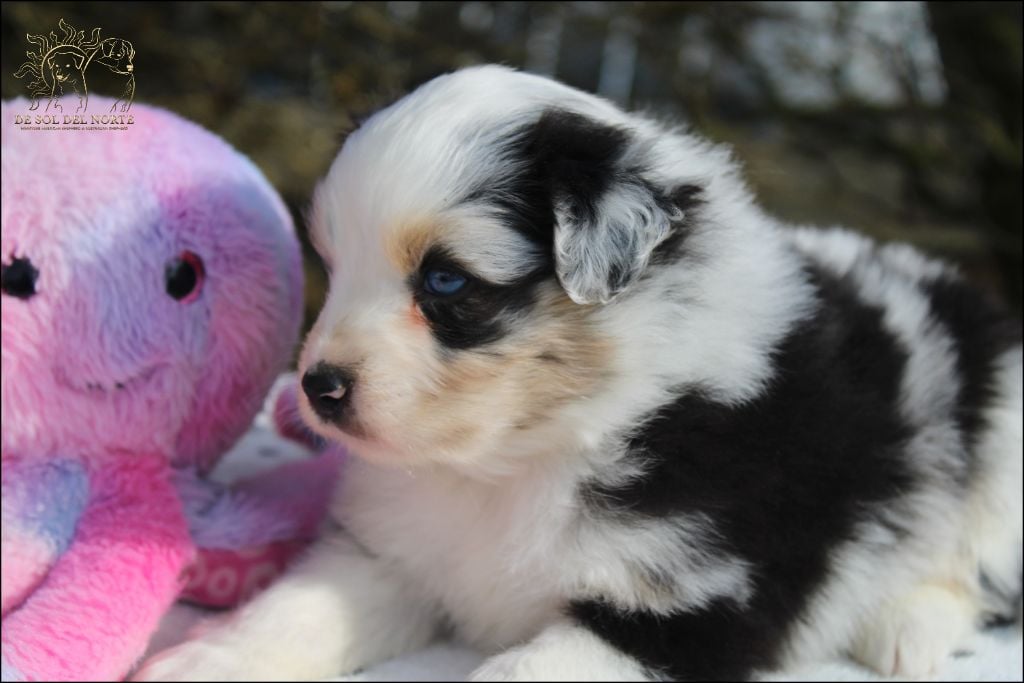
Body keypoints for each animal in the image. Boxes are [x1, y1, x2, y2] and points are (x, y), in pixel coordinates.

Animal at [138, 65, 1024, 683]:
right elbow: (293, 612)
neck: (518, 458)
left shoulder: (691, 607)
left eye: (446, 281)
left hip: (1003, 447)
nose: (317, 388)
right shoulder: (389, 555)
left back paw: (908, 622)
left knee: (980, 569)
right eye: (332, 263)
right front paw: (204, 660)